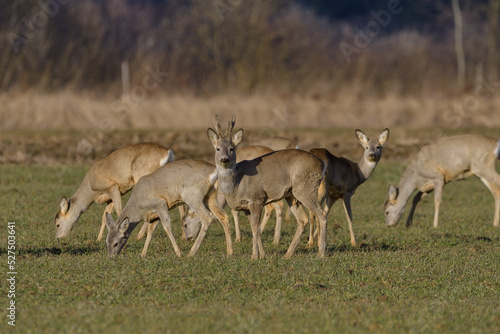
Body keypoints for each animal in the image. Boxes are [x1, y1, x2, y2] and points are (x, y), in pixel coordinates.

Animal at [207, 114, 328, 258]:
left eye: (232, 148)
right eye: (218, 148)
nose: (224, 159)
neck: (236, 184)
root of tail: (322, 164)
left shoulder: (256, 199)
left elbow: (255, 228)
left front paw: (254, 256)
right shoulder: (246, 207)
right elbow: (256, 228)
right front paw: (262, 255)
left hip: (305, 189)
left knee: (322, 215)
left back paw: (320, 253)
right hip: (291, 195)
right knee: (303, 219)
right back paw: (287, 255)